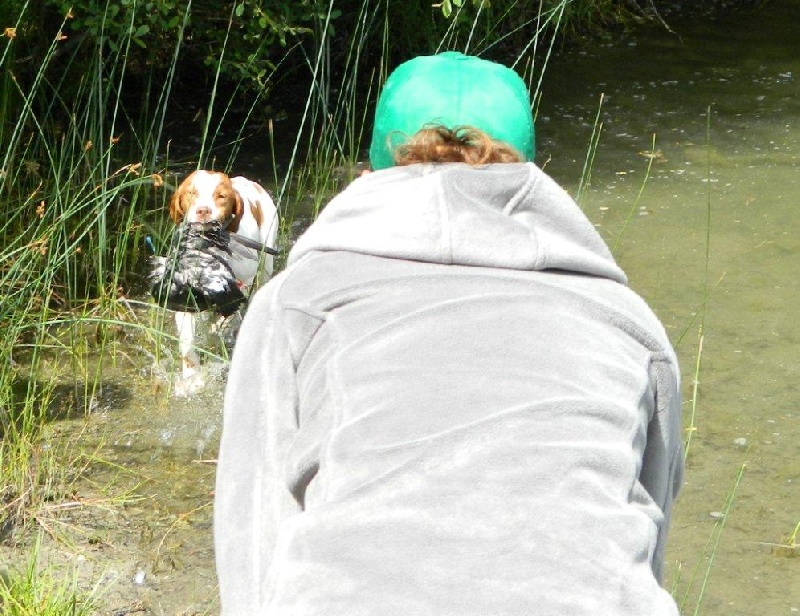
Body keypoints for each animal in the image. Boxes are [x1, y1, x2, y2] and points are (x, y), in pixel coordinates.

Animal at [167, 171, 280, 388]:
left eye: (221, 196)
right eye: (191, 193)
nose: (203, 210)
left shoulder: (243, 284)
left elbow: (230, 316)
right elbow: (187, 341)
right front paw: (191, 378)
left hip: (265, 266)